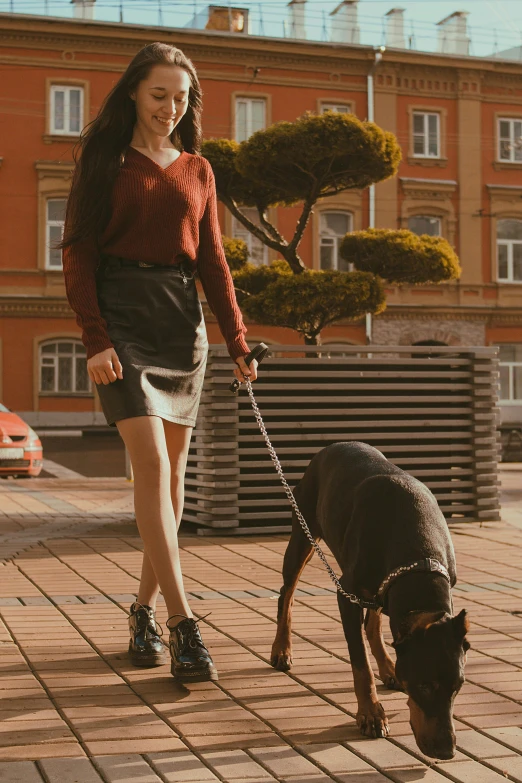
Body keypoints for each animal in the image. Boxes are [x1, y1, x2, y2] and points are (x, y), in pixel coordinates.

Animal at [270, 444, 470, 764]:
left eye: (458, 686)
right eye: (424, 685)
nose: (446, 751)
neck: (418, 560)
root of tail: (332, 446)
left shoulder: (386, 585)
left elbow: (373, 629)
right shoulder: (346, 594)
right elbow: (360, 664)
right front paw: (371, 715)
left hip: (378, 589)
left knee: (373, 622)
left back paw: (389, 668)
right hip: (303, 531)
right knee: (286, 595)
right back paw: (281, 649)